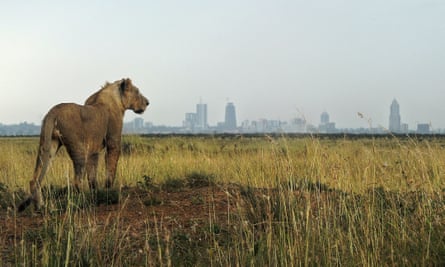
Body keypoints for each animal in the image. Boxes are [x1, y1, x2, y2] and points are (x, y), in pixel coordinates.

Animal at [18, 78, 149, 213]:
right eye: (137, 91)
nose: (147, 102)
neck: (116, 101)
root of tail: (53, 112)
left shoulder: (93, 151)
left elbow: (92, 176)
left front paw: (96, 194)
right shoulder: (113, 142)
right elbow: (111, 168)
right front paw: (108, 191)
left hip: (48, 145)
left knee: (35, 179)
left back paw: (40, 207)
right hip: (78, 149)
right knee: (76, 181)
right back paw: (84, 203)